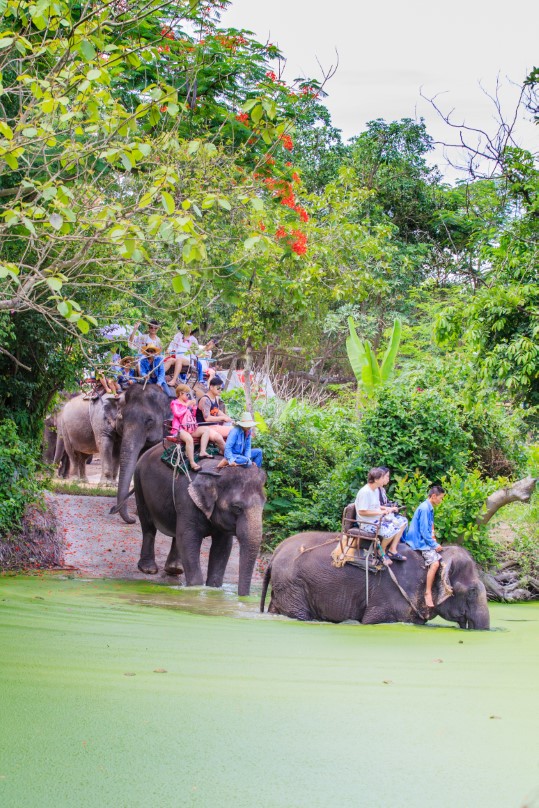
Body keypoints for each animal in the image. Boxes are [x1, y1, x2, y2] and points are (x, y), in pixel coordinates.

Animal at [131, 446, 266, 596]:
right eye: (237, 508)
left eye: (264, 505)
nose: (244, 597)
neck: (217, 472)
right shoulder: (187, 500)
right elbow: (188, 539)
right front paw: (196, 589)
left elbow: (223, 547)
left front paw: (214, 588)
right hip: (139, 482)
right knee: (148, 525)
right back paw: (148, 569)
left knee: (176, 532)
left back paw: (174, 569)